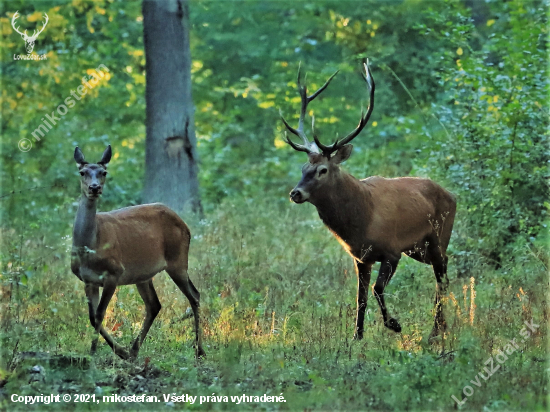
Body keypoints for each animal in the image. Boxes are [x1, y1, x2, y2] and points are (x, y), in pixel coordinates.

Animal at [71, 146, 205, 358]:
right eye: (82, 172)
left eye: (103, 172)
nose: (94, 187)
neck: (90, 247)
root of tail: (184, 223)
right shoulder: (88, 280)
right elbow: (92, 317)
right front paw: (112, 351)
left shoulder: (114, 272)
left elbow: (99, 314)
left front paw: (97, 352)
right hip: (143, 274)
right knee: (154, 305)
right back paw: (133, 351)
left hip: (178, 259)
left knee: (194, 295)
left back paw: (199, 350)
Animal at [280, 60, 458, 338]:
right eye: (303, 167)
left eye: (322, 170)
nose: (295, 193)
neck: (360, 222)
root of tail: (452, 195)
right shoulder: (360, 258)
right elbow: (360, 298)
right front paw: (356, 336)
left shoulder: (392, 250)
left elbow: (377, 289)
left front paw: (394, 324)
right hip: (419, 249)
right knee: (442, 272)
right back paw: (440, 328)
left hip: (439, 235)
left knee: (442, 276)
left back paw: (435, 332)